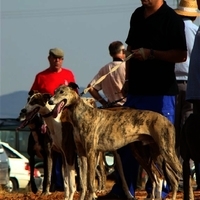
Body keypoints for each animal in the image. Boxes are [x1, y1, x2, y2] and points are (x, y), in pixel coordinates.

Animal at [48, 84, 183, 200]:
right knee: (158, 177)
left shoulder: (91, 153)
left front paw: (91, 196)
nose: (50, 101)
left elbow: (90, 182)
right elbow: (84, 183)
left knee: (178, 173)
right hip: (144, 155)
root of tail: (167, 120)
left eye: (62, 92)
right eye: (54, 91)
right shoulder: (81, 154)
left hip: (167, 152)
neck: (82, 114)